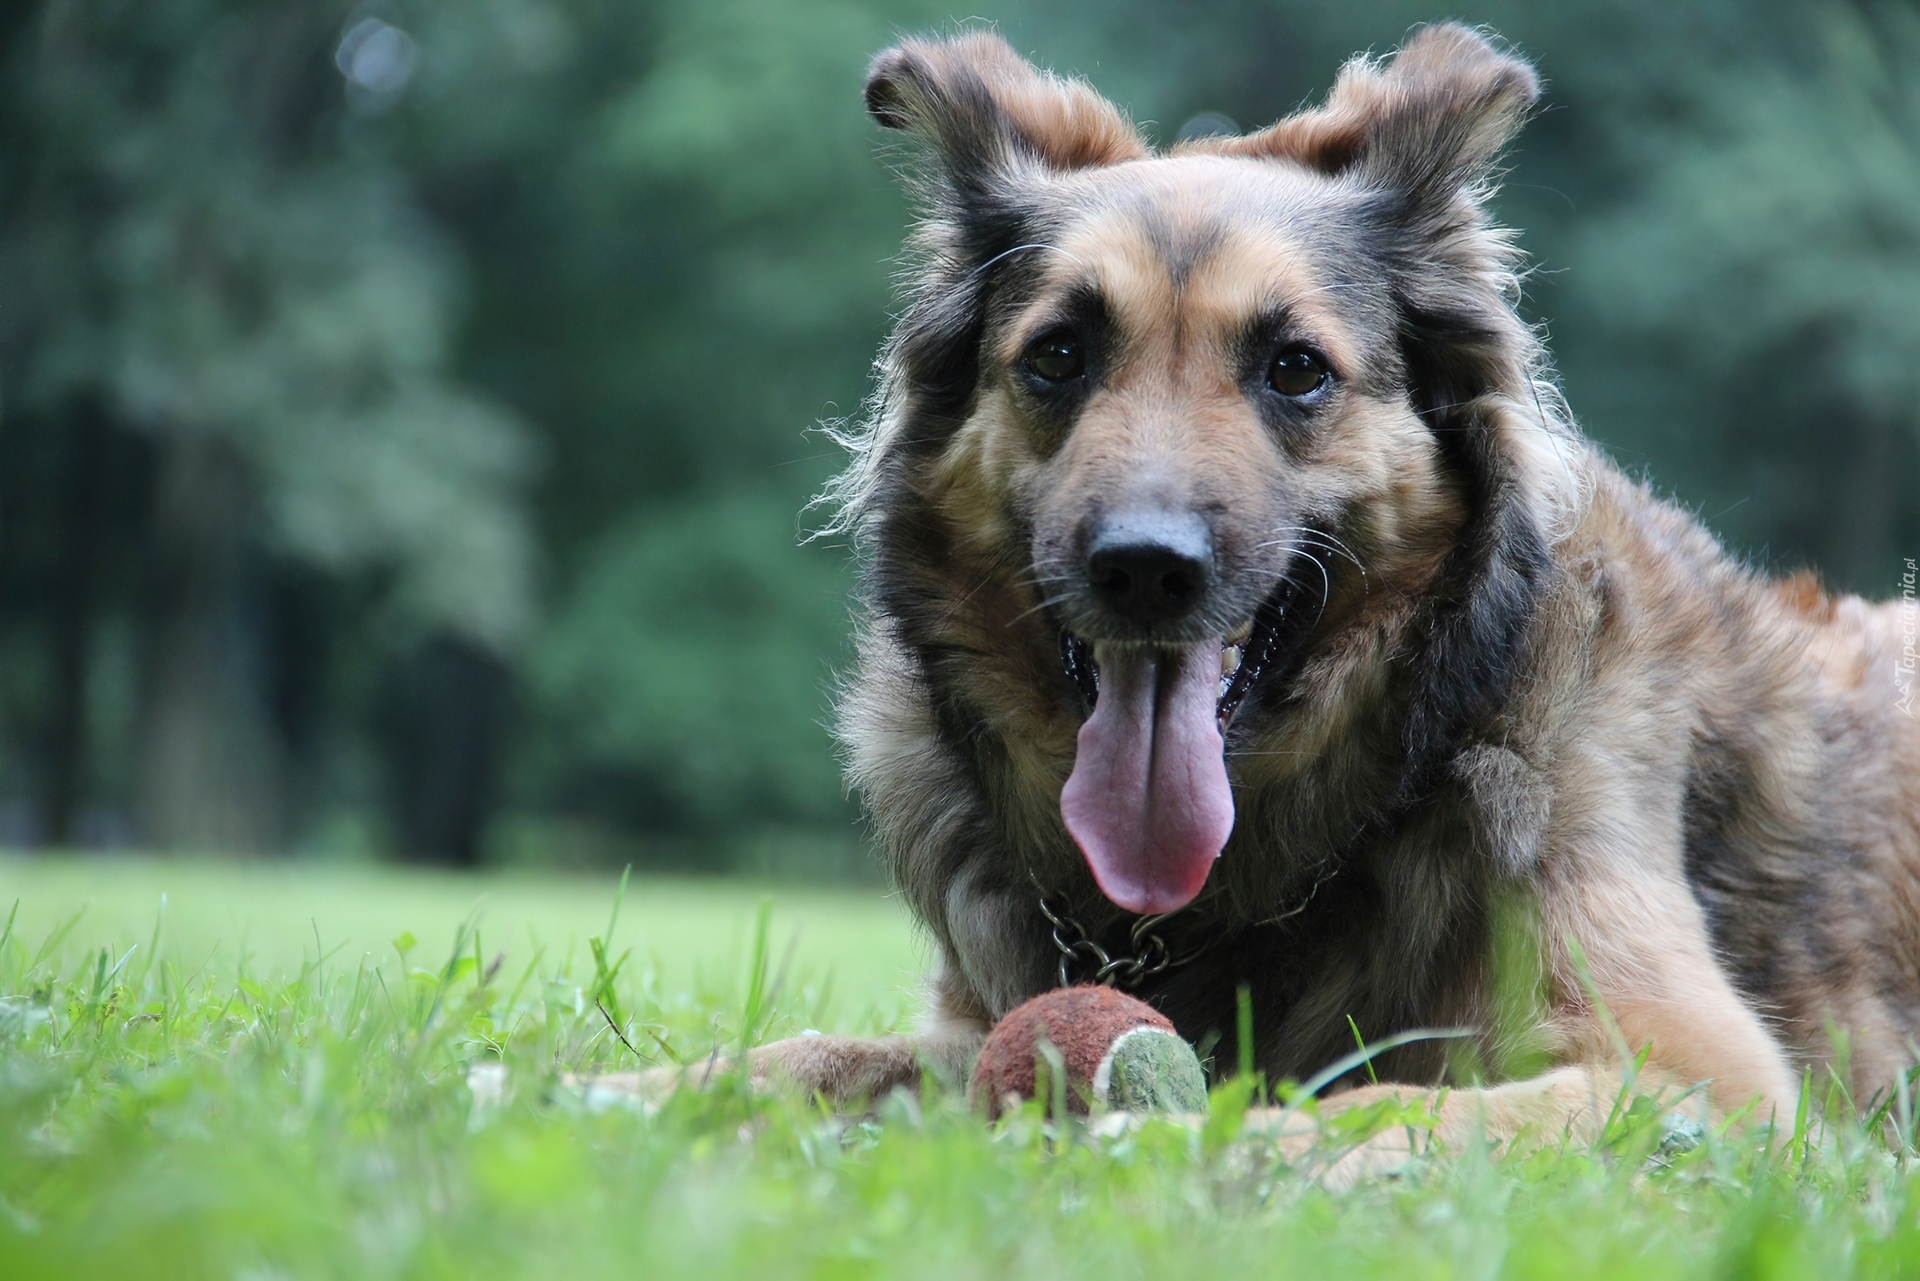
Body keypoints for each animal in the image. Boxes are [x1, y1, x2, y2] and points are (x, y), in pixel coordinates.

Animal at [637, 22, 1920, 1152]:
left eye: (1296, 370)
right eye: (1059, 355)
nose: (1144, 570)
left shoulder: (1702, 1071)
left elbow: (1373, 1101)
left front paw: (1207, 1147)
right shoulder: (972, 1031)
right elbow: (805, 1056)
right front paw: (637, 1093)